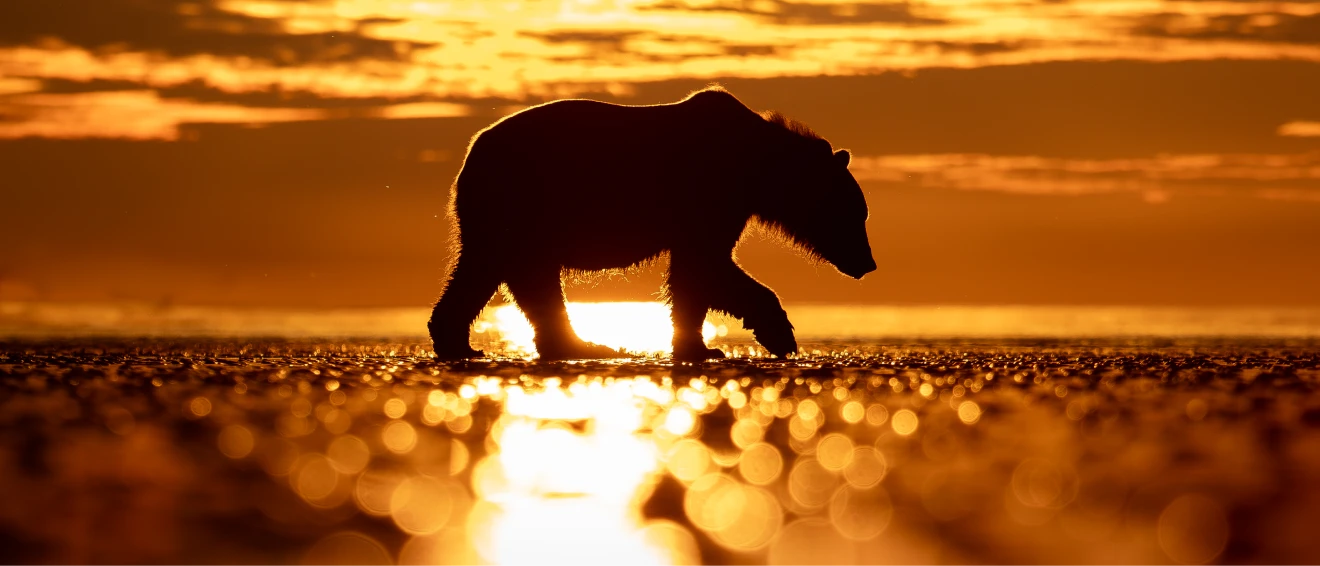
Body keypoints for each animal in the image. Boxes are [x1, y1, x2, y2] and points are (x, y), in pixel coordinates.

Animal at [428, 86, 876, 361]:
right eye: (857, 213)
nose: (868, 263)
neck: (755, 166)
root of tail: (472, 152)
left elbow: (697, 272)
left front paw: (700, 344)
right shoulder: (707, 196)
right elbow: (706, 266)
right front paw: (776, 333)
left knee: (497, 271)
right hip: (522, 202)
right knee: (511, 271)